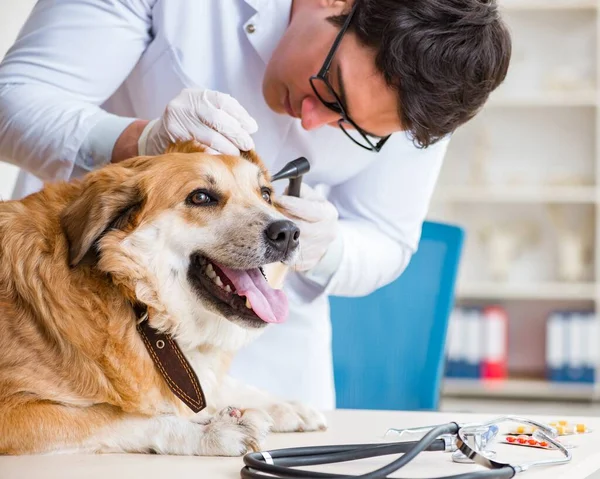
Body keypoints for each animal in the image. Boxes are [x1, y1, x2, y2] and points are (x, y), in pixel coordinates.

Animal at [0, 143, 324, 458]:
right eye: (201, 197)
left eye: (266, 194)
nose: (288, 232)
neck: (139, 303)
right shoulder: (13, 411)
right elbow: (119, 417)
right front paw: (211, 432)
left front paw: (282, 404)